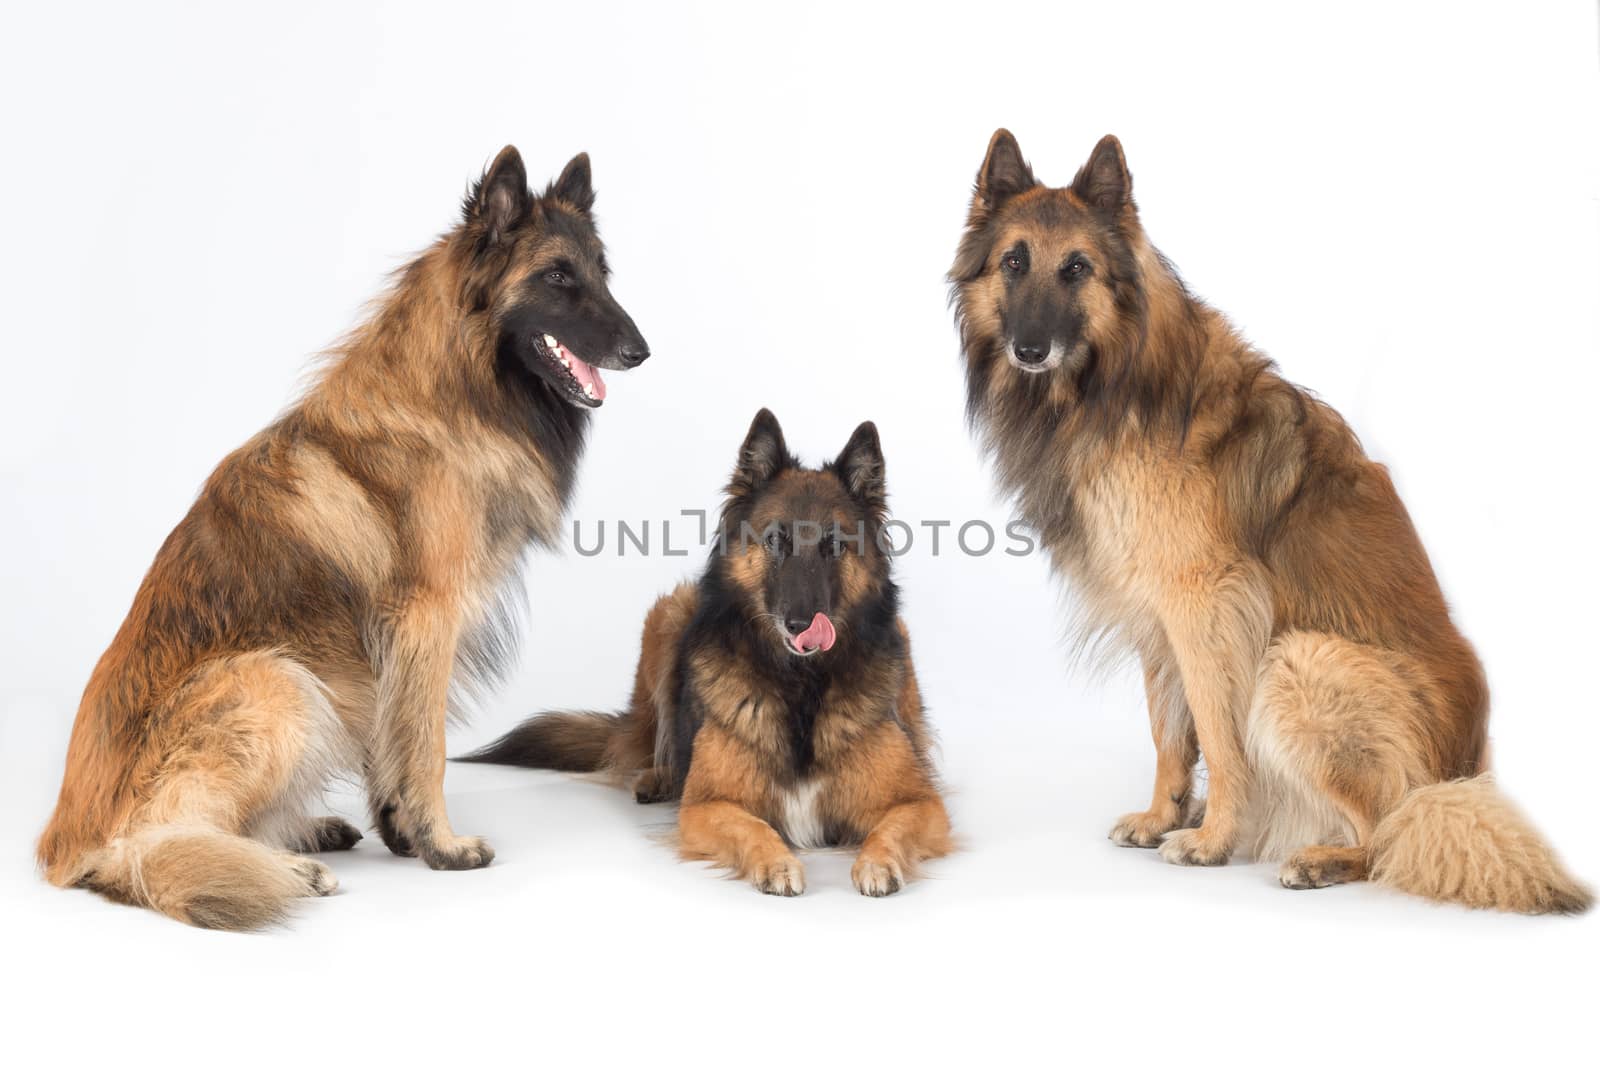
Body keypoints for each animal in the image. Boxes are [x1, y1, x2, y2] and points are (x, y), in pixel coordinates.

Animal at [464, 412, 947, 895]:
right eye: (776, 541)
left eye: (834, 545)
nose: (800, 624)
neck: (800, 688)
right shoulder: (706, 805)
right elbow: (753, 828)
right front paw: (777, 863)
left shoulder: (921, 804)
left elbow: (891, 829)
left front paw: (878, 863)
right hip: (668, 615)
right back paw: (658, 776)